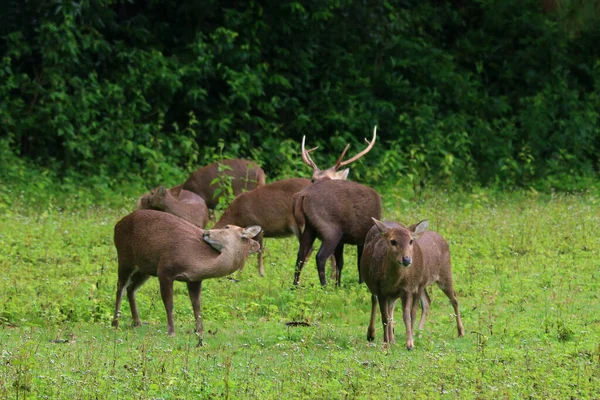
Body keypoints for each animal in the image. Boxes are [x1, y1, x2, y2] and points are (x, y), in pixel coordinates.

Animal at [112, 209, 260, 340]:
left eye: (227, 226)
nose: (205, 232)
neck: (193, 263)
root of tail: (117, 225)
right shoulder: (164, 269)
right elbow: (169, 303)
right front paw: (171, 332)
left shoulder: (194, 280)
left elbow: (196, 304)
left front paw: (200, 331)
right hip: (125, 256)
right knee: (120, 287)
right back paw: (115, 323)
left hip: (145, 267)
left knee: (131, 289)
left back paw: (137, 322)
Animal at [358, 219, 466, 350]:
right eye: (393, 241)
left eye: (410, 241)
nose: (406, 259)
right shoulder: (382, 291)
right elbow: (385, 318)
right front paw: (386, 344)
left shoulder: (408, 288)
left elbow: (408, 315)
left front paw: (409, 343)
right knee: (425, 302)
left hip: (444, 274)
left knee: (454, 298)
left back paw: (460, 332)